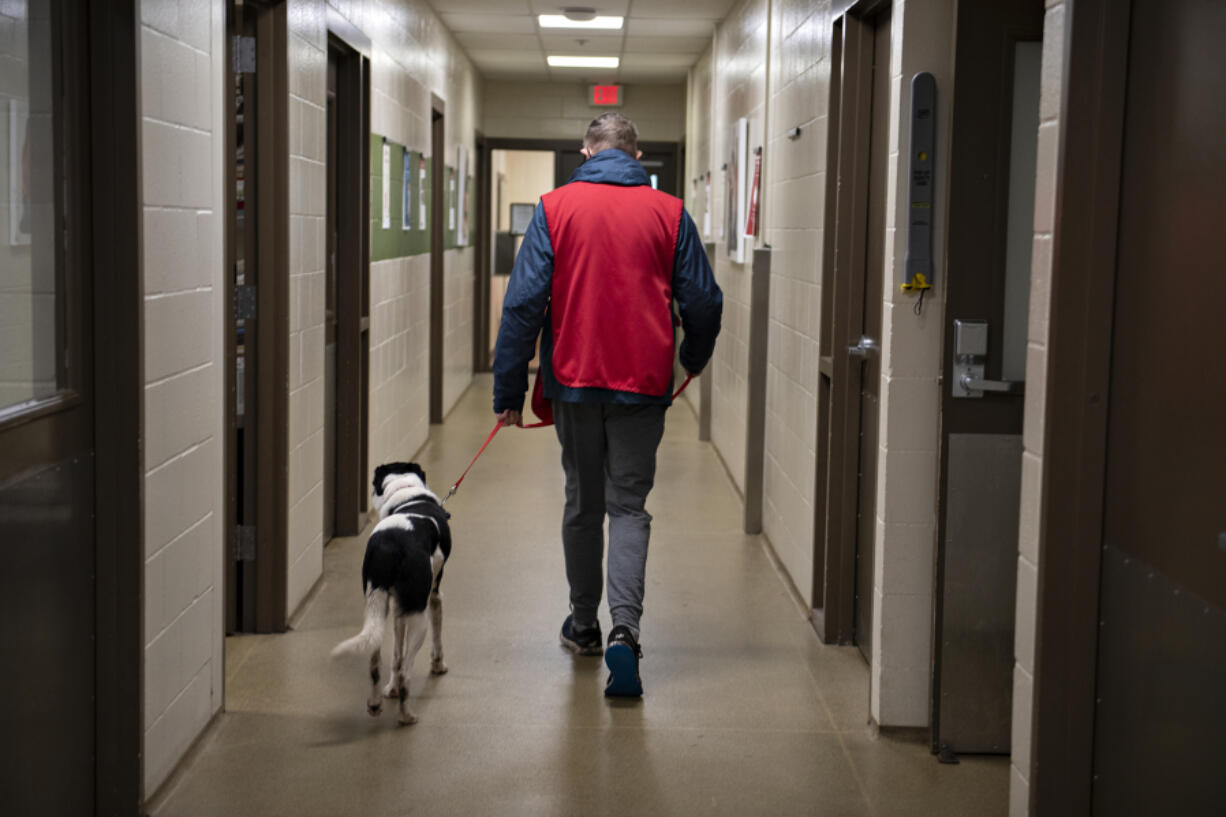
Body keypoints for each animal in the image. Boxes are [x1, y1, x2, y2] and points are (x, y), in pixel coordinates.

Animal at [331, 461, 451, 721]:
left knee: (377, 662)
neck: (406, 490)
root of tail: (392, 546)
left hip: (377, 605)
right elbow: (437, 640)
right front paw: (438, 666)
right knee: (406, 670)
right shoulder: (434, 597)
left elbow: (396, 654)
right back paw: (407, 716)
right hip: (419, 615)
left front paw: (391, 689)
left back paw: (376, 703)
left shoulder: (398, 610)